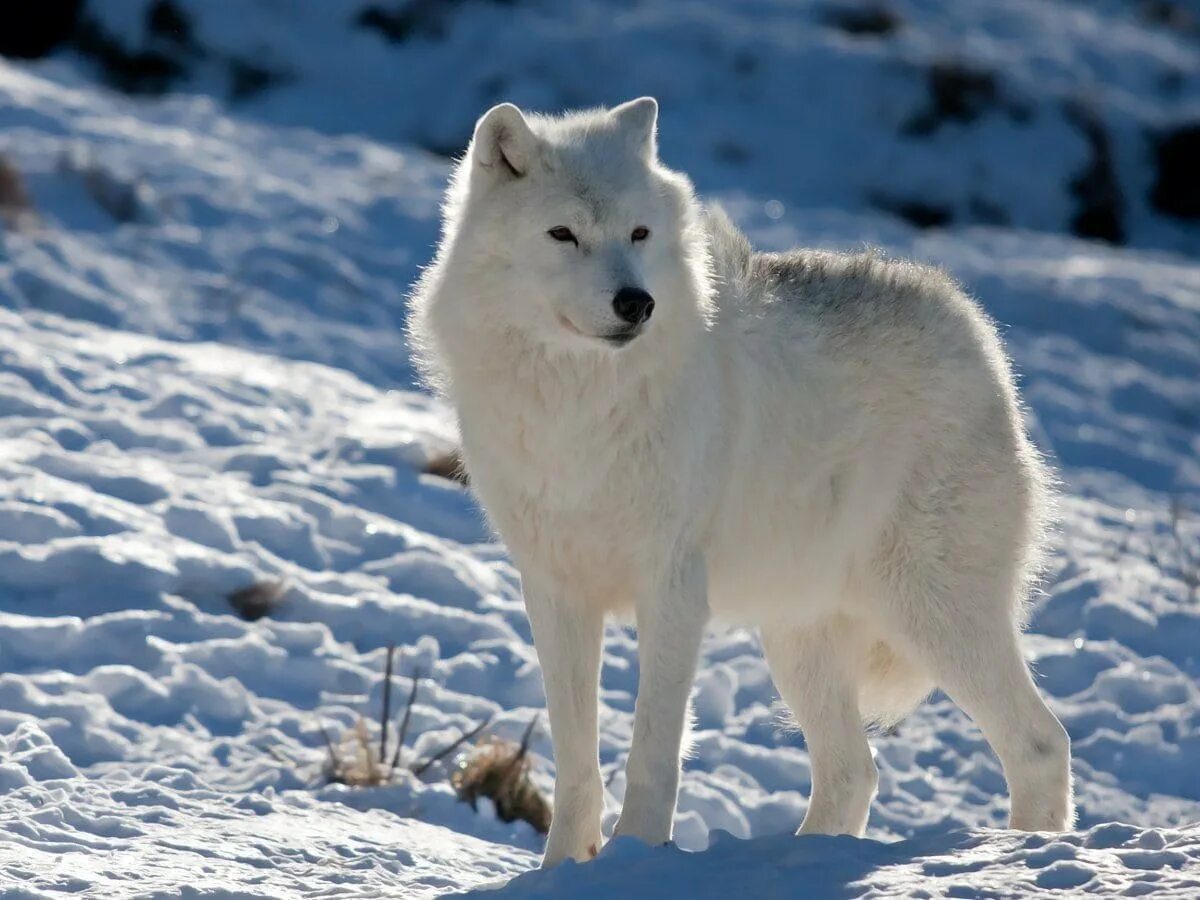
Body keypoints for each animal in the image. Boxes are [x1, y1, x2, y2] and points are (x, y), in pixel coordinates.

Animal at [408, 97, 1075, 868]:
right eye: (563, 234)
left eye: (638, 233)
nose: (636, 303)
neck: (579, 405)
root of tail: (977, 334)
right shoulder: (555, 591)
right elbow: (576, 761)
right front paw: (560, 872)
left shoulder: (671, 592)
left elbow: (652, 754)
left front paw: (635, 858)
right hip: (799, 639)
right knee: (854, 773)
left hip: (931, 614)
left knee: (1039, 745)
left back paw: (1021, 859)